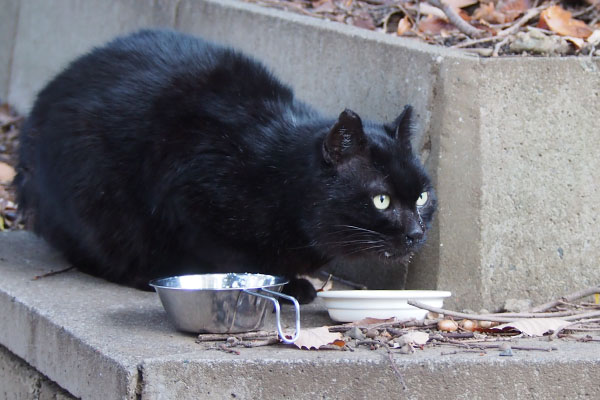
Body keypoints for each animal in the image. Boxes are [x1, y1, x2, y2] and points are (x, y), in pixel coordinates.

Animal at [15, 28, 436, 304]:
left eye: (422, 197)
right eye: (381, 200)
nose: (415, 233)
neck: (278, 178)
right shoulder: (189, 199)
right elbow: (234, 259)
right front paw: (282, 286)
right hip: (94, 194)